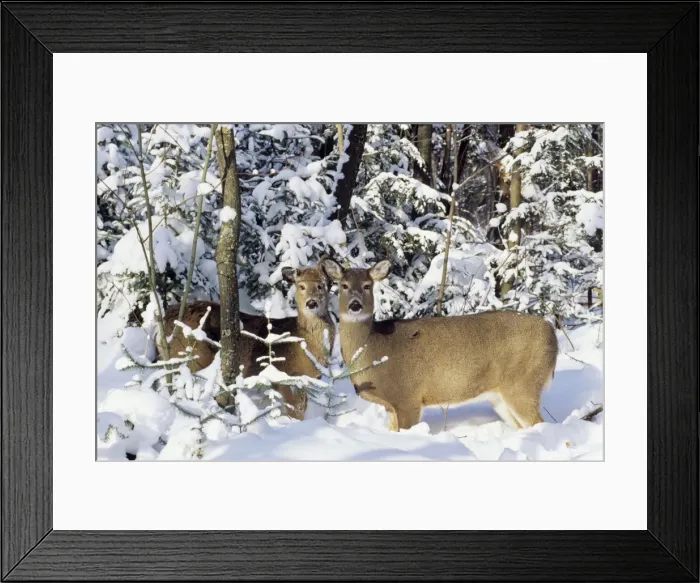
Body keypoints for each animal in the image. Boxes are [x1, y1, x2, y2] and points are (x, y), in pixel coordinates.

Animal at [157, 264, 334, 420]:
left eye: (321, 285)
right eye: (301, 286)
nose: (311, 303)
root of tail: (165, 319)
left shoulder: (304, 381)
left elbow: (301, 407)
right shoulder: (282, 374)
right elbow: (294, 410)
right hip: (194, 356)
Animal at [321, 258, 558, 432]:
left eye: (367, 285)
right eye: (344, 285)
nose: (355, 305)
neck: (374, 349)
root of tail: (552, 333)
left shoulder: (408, 396)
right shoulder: (391, 406)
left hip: (524, 383)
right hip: (500, 396)